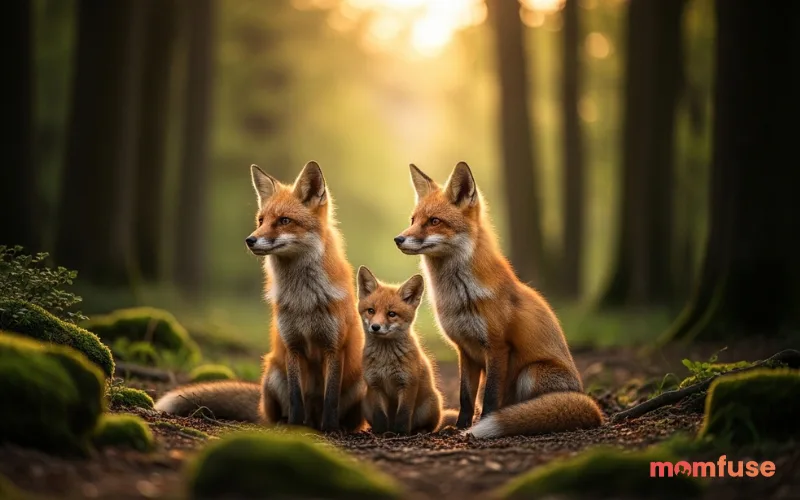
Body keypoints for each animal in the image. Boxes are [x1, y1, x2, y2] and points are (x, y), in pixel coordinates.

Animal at [155, 162, 365, 432]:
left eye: (284, 220)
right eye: (261, 220)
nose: (250, 240)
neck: (304, 300)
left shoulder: (334, 347)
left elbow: (330, 399)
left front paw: (329, 428)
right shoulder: (292, 346)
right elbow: (296, 397)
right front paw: (294, 427)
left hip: (359, 383)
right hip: (273, 374)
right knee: (275, 414)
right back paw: (289, 423)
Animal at [356, 266, 458, 434]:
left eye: (391, 314)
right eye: (371, 310)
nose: (375, 327)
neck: (385, 360)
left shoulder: (408, 384)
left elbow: (403, 415)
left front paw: (400, 434)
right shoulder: (375, 385)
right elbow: (380, 416)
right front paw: (381, 433)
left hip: (432, 403)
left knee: (431, 426)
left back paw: (420, 431)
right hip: (365, 403)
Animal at [393, 161, 604, 438]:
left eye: (434, 221)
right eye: (413, 220)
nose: (398, 239)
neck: (459, 297)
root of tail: (587, 401)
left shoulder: (497, 347)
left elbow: (490, 396)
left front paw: (481, 425)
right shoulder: (465, 351)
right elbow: (465, 397)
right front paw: (460, 427)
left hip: (530, 372)